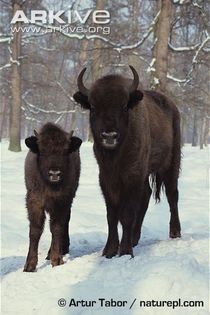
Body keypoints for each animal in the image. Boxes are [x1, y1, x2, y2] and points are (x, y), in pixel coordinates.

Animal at [23, 123, 81, 272]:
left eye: (65, 151)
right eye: (42, 151)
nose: (55, 173)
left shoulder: (61, 202)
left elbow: (56, 228)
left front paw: (57, 260)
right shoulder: (34, 201)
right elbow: (35, 229)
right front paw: (29, 265)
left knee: (65, 223)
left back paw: (58, 251)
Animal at [73, 65, 181, 258]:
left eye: (123, 106)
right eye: (93, 107)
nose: (109, 135)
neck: (116, 155)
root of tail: (172, 107)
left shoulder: (132, 176)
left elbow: (127, 213)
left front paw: (124, 251)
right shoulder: (107, 179)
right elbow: (112, 214)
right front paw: (109, 250)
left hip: (171, 164)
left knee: (172, 194)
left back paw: (175, 232)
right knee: (146, 196)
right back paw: (135, 238)